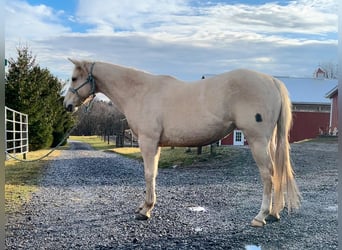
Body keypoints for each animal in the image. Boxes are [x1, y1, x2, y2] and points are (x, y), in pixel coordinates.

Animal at [63, 59, 300, 227]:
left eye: (74, 78)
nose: (67, 105)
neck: (141, 92)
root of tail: (271, 80)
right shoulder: (156, 144)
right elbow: (154, 175)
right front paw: (144, 207)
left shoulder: (148, 141)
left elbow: (148, 174)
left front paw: (145, 211)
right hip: (269, 141)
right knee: (277, 172)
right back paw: (275, 213)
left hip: (258, 140)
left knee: (268, 174)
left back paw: (261, 216)